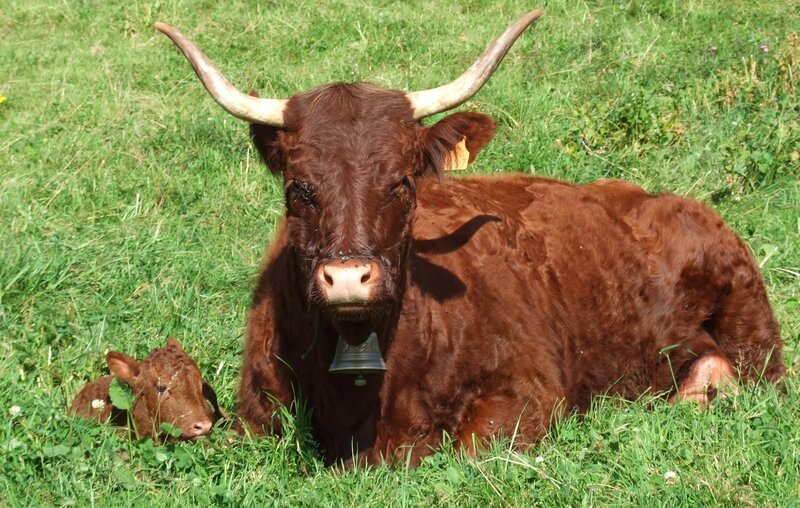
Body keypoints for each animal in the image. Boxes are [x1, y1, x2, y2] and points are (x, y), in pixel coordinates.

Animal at [154, 9, 784, 466]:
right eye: (298, 187)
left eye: (404, 182)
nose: (349, 279)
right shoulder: (254, 413)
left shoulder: (529, 393)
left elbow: (470, 451)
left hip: (756, 340)